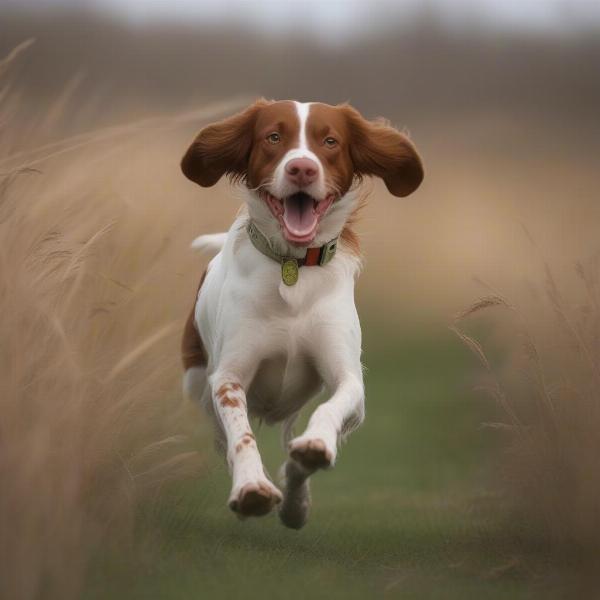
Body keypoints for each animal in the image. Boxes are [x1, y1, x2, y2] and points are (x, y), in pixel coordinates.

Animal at [179, 99, 422, 528]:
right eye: (274, 137)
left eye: (330, 141)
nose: (302, 169)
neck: (292, 267)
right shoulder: (226, 379)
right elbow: (240, 435)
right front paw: (252, 488)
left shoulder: (349, 381)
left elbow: (328, 412)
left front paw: (310, 459)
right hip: (196, 383)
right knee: (223, 438)